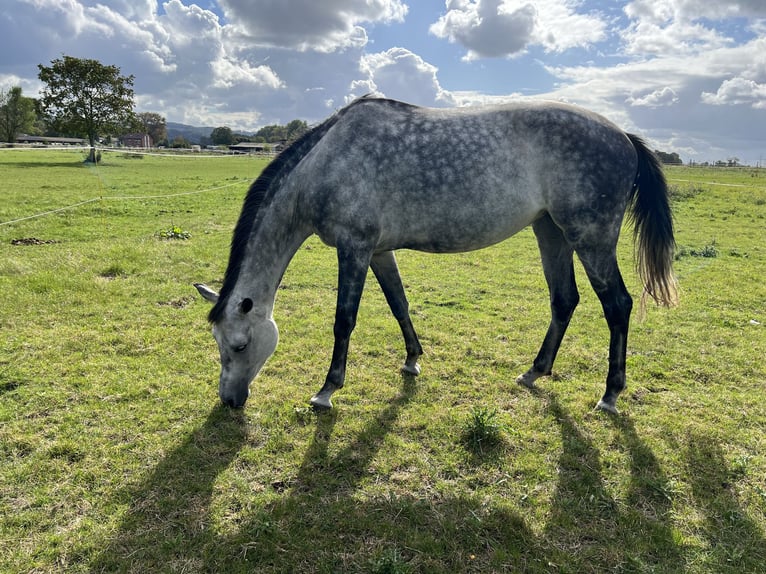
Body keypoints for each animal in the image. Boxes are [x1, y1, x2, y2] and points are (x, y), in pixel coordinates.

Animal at [196, 97, 680, 416]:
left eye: (240, 345)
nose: (230, 401)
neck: (327, 163)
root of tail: (624, 137)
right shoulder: (379, 250)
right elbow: (399, 303)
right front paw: (412, 359)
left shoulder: (354, 249)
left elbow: (344, 320)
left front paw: (327, 391)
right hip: (551, 231)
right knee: (564, 300)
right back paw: (534, 372)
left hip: (590, 237)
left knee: (617, 305)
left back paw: (610, 395)